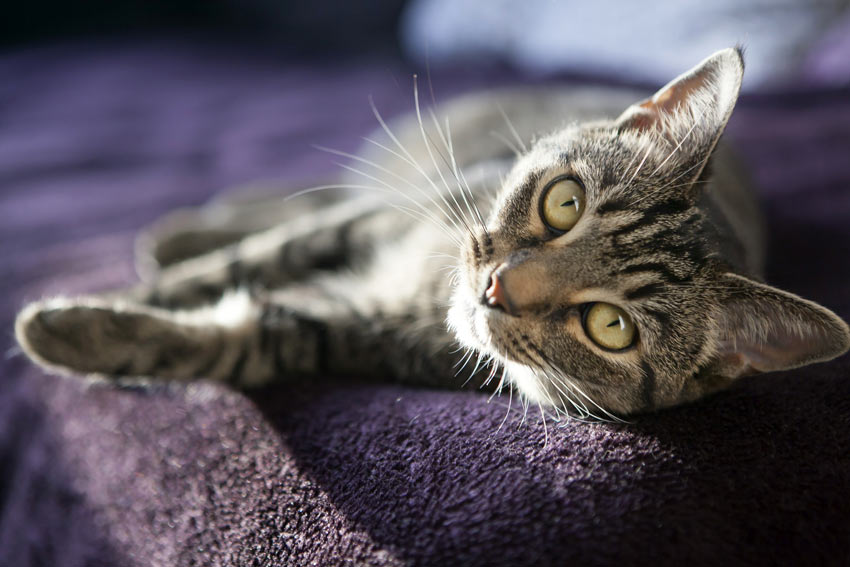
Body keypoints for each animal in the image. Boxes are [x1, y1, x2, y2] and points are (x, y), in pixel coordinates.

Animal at [14, 48, 848, 420]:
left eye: (609, 326)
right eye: (565, 203)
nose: (496, 287)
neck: (423, 287)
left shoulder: (346, 330)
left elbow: (231, 341)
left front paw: (72, 332)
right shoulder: (394, 213)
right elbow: (255, 258)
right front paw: (150, 285)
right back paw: (188, 225)